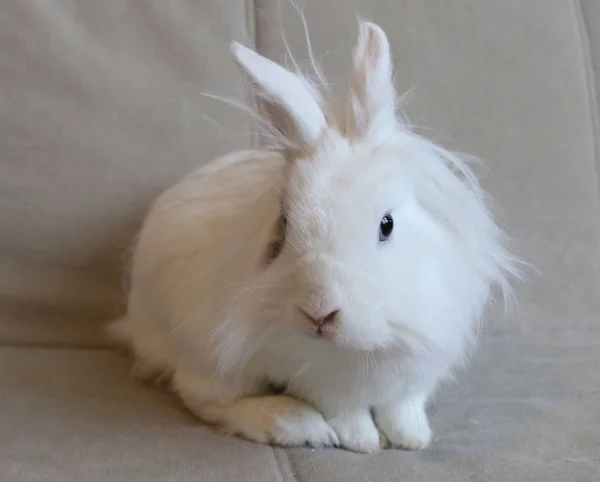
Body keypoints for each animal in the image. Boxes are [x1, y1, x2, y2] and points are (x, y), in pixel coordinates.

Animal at [109, 21, 520, 452]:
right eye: (285, 223)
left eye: (386, 224)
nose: (319, 312)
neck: (358, 348)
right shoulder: (314, 378)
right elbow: (343, 409)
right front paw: (363, 441)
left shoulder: (420, 360)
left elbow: (403, 404)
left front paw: (411, 437)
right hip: (205, 357)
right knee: (205, 400)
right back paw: (294, 423)